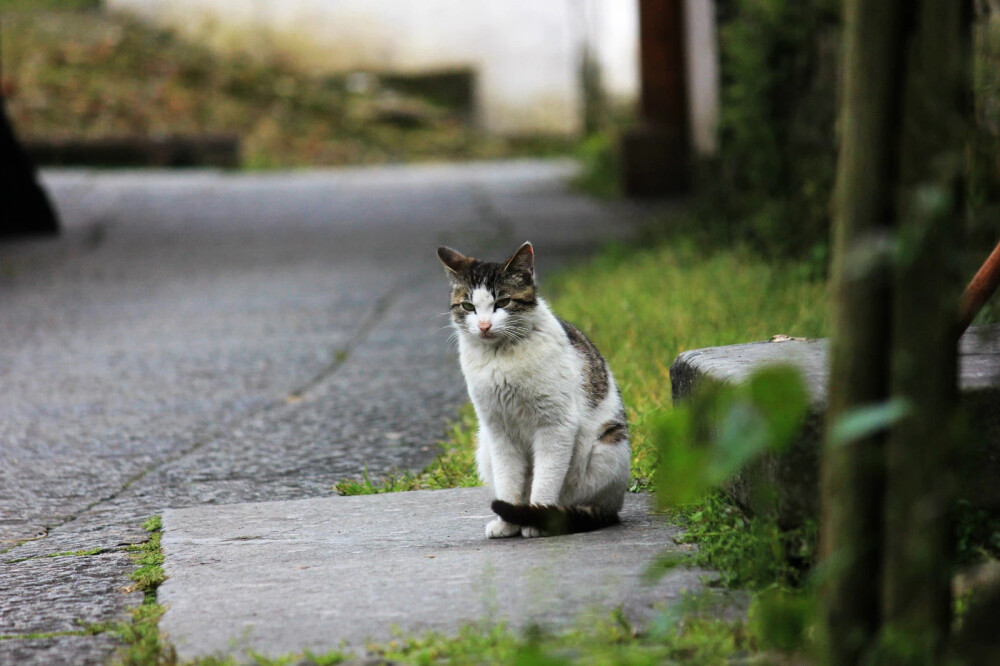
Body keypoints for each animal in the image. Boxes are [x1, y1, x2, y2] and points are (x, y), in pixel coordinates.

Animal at [436, 241, 628, 536]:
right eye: (468, 306)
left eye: (503, 302)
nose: (484, 325)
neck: (501, 358)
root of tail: (614, 507)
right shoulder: (498, 431)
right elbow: (507, 481)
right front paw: (508, 523)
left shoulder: (555, 426)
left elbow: (546, 478)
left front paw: (538, 519)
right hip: (484, 448)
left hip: (607, 445)